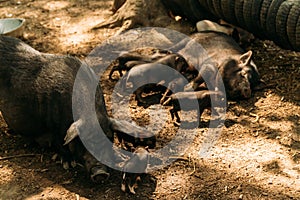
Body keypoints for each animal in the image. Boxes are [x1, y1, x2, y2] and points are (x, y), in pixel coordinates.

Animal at [0, 35, 151, 182]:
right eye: (83, 142)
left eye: (109, 137)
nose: (100, 172)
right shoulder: (53, 126)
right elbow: (60, 143)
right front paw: (68, 164)